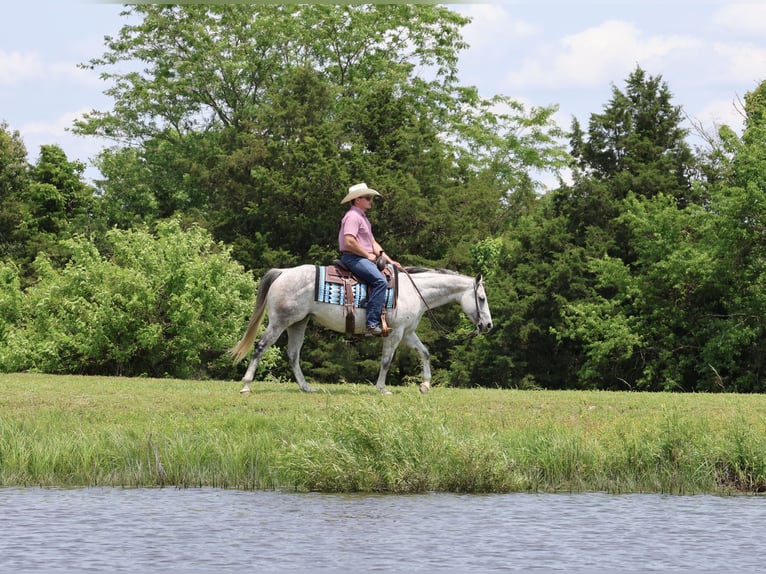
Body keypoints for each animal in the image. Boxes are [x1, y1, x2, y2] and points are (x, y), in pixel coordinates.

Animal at [229, 265, 493, 395]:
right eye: (481, 299)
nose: (488, 325)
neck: (414, 292)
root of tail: (284, 272)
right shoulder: (395, 333)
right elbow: (386, 361)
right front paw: (382, 388)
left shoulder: (407, 333)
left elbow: (425, 352)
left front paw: (425, 385)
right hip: (280, 322)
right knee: (261, 347)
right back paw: (246, 385)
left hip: (298, 323)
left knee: (293, 355)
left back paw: (306, 387)